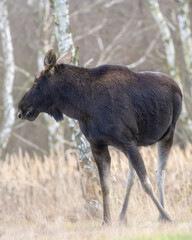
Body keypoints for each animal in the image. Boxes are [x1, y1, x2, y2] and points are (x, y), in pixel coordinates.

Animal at [18, 49, 183, 225]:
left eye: (36, 83)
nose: (21, 109)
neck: (82, 106)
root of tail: (177, 86)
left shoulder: (126, 142)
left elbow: (146, 183)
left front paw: (167, 216)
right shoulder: (98, 145)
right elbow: (105, 186)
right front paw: (106, 220)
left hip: (168, 133)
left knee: (160, 173)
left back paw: (160, 215)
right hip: (139, 142)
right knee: (132, 176)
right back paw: (123, 216)